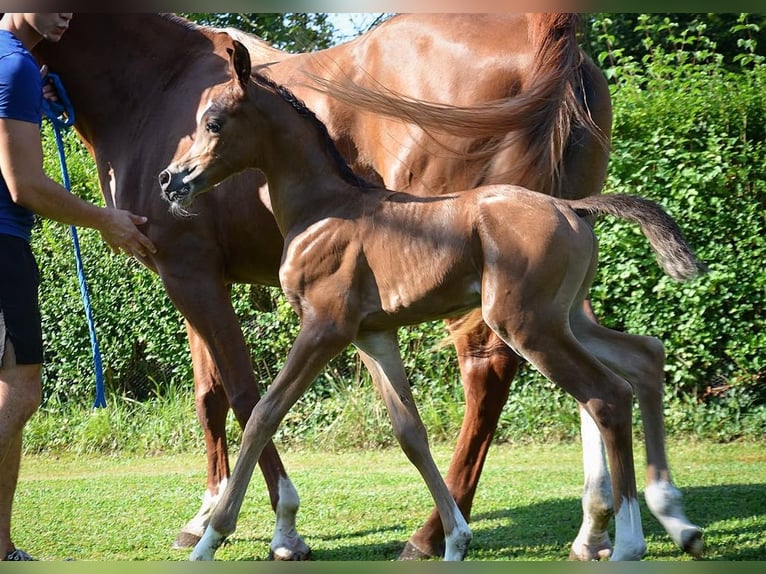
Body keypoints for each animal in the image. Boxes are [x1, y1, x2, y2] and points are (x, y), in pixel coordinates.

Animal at [34, 13, 700, 560]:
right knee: (641, 360)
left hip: (521, 322)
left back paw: (622, 540)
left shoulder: (303, 319)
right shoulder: (372, 334)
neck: (325, 206)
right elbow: (408, 432)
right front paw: (457, 537)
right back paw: (649, 522)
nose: (174, 180)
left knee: (587, 392)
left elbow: (258, 407)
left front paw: (233, 533)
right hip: (567, 317)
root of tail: (573, 208)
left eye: (214, 122)